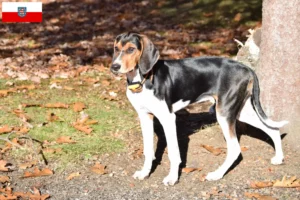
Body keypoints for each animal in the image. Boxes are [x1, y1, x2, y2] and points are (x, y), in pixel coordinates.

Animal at [110, 31, 288, 186]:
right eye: (116, 48)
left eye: (131, 49)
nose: (114, 66)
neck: (143, 79)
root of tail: (246, 68)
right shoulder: (145, 116)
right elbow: (148, 150)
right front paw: (144, 173)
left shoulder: (168, 118)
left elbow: (174, 153)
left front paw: (172, 178)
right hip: (240, 112)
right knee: (272, 129)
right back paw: (278, 158)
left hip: (224, 114)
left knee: (235, 148)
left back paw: (217, 174)